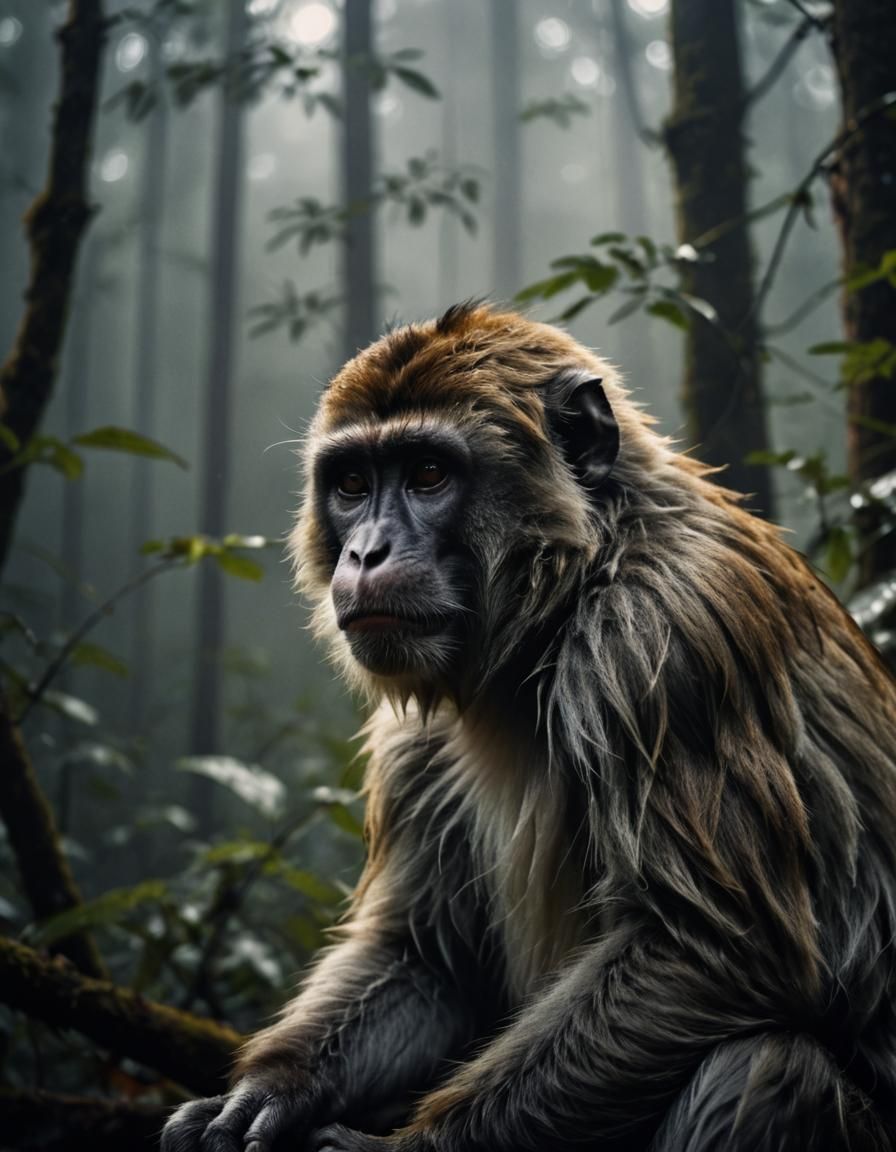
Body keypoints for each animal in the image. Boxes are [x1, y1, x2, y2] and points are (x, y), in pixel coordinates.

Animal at [162, 302, 896, 1152]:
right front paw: (268, 1094)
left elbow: (717, 949)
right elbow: (432, 957)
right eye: (352, 484)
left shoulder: (665, 641)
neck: (577, 579)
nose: (366, 552)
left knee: (761, 1069)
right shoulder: (423, 725)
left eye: (428, 474)